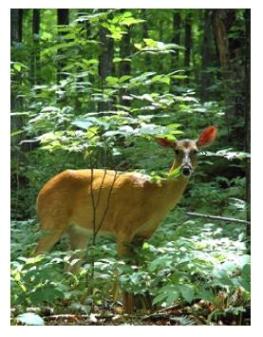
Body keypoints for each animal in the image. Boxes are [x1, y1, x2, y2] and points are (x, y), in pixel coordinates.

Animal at [35, 126, 219, 312]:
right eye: (177, 151)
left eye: (195, 151)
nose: (186, 169)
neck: (155, 197)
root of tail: (42, 191)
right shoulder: (124, 227)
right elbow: (122, 269)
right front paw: (123, 310)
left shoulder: (144, 234)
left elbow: (137, 269)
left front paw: (141, 307)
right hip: (51, 220)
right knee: (36, 255)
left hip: (79, 232)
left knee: (70, 266)